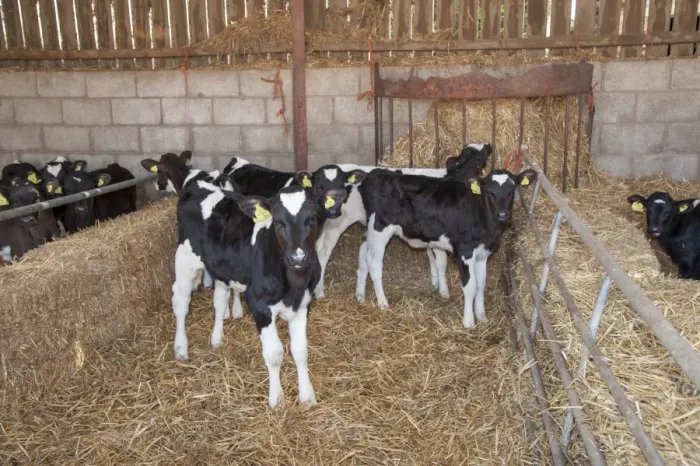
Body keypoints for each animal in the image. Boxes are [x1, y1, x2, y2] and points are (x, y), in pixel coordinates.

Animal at [172, 172, 346, 408]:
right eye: (278, 221)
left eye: (312, 219)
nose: (298, 258)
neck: (293, 284)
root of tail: (198, 184)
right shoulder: (259, 305)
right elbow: (274, 354)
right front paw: (277, 399)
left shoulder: (303, 304)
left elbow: (300, 350)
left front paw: (307, 396)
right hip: (185, 260)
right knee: (181, 303)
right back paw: (181, 348)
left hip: (221, 267)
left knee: (219, 299)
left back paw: (216, 338)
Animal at [355, 166, 537, 328]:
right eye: (488, 191)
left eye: (512, 190)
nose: (502, 214)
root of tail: (376, 173)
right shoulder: (465, 252)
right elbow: (470, 287)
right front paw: (469, 322)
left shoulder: (483, 253)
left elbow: (481, 284)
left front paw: (482, 316)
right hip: (380, 228)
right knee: (374, 263)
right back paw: (382, 303)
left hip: (372, 231)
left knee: (363, 252)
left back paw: (360, 295)